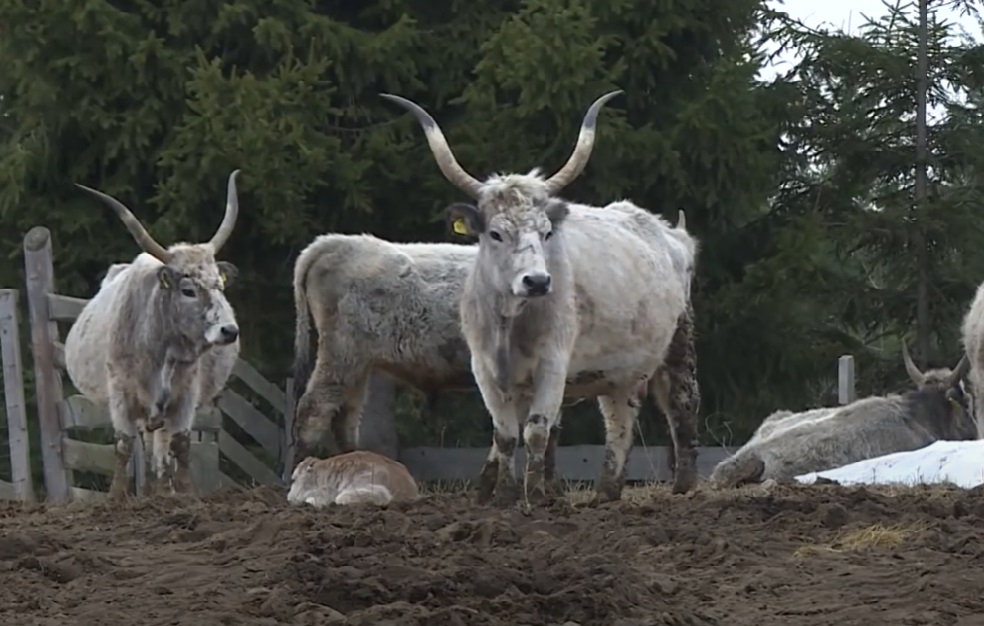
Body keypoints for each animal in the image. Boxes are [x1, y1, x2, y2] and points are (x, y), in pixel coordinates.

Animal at [64, 169, 244, 498]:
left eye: (219, 285)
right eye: (188, 290)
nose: (229, 330)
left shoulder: (185, 395)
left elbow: (181, 443)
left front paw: (184, 493)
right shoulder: (121, 395)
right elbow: (123, 445)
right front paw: (116, 496)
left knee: (159, 447)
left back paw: (160, 490)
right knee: (145, 445)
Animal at [380, 90, 696, 504]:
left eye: (546, 232)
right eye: (495, 233)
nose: (537, 281)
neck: (509, 321)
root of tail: (670, 231)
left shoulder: (553, 364)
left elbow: (535, 430)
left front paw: (536, 495)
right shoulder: (485, 368)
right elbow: (505, 434)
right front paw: (503, 493)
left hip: (679, 345)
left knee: (680, 404)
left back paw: (683, 485)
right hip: (620, 369)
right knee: (619, 417)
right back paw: (606, 490)